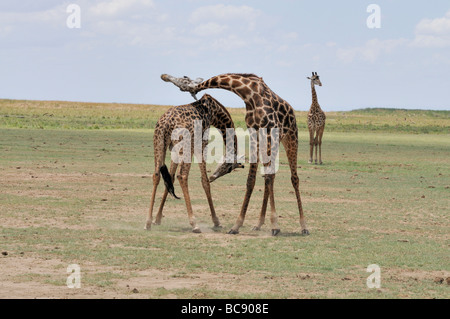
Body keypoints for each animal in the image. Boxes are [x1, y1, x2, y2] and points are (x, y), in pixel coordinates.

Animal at [146, 94, 244, 234]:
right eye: (230, 168)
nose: (214, 176)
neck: (214, 113)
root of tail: (166, 122)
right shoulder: (201, 145)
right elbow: (205, 181)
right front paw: (216, 221)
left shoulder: (174, 149)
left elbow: (170, 178)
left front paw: (157, 219)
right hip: (186, 147)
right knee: (182, 176)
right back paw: (195, 224)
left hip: (159, 143)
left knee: (156, 175)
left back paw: (148, 222)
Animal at [161, 73, 310, 238]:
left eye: (184, 80)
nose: (164, 76)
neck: (249, 94)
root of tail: (292, 110)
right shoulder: (254, 133)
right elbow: (252, 180)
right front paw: (237, 225)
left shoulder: (269, 132)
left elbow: (266, 178)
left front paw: (275, 226)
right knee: (269, 177)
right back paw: (258, 224)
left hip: (290, 137)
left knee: (294, 178)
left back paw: (304, 227)